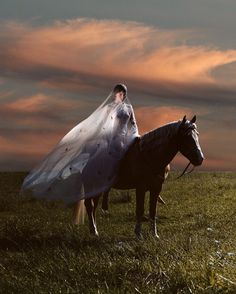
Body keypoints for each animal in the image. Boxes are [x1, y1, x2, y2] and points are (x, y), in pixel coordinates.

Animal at [74, 115, 205, 239]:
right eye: (186, 136)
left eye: (197, 134)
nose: (200, 159)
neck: (149, 156)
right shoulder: (140, 188)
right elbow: (140, 210)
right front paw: (138, 234)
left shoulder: (156, 188)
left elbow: (153, 211)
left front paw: (154, 234)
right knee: (89, 206)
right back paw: (94, 231)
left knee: (94, 206)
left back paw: (94, 230)